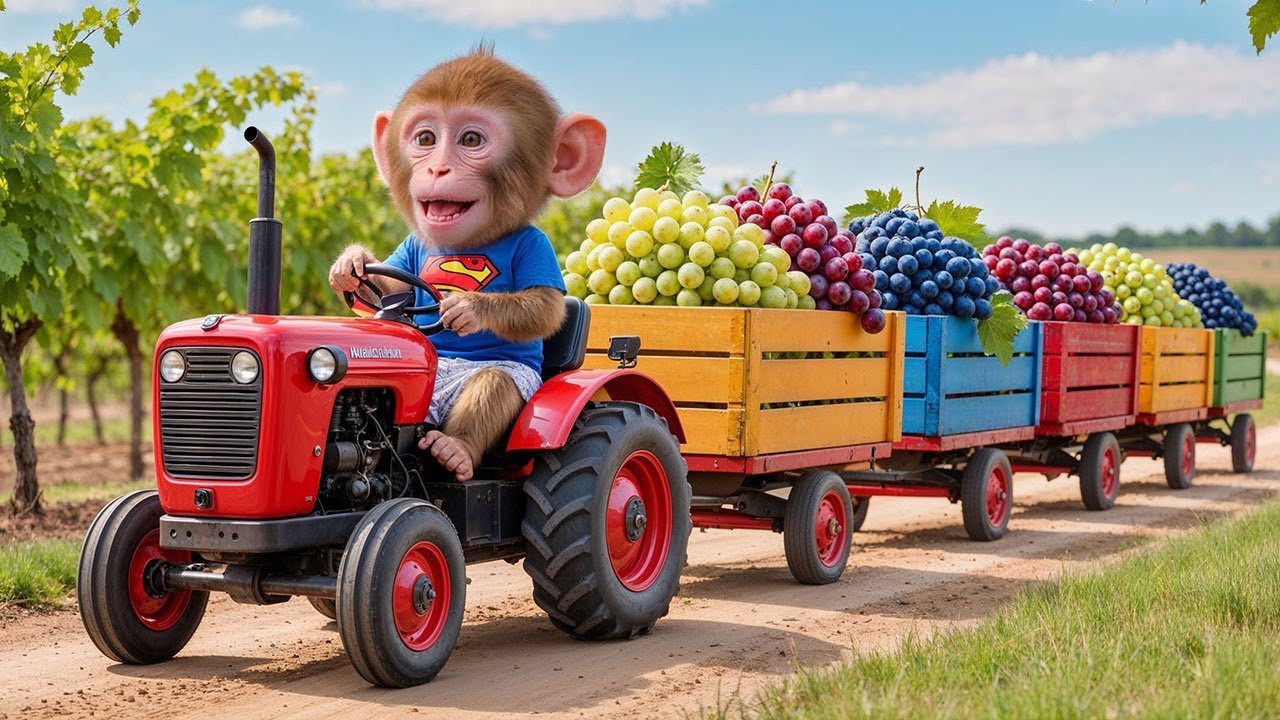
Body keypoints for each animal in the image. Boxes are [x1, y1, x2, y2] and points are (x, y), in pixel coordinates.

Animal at [329, 47, 606, 482]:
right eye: (425, 139)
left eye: (471, 140)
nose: (437, 168)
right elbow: (394, 285)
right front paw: (350, 264)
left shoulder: (537, 247)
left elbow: (544, 306)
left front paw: (466, 307)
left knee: (493, 382)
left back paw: (453, 450)